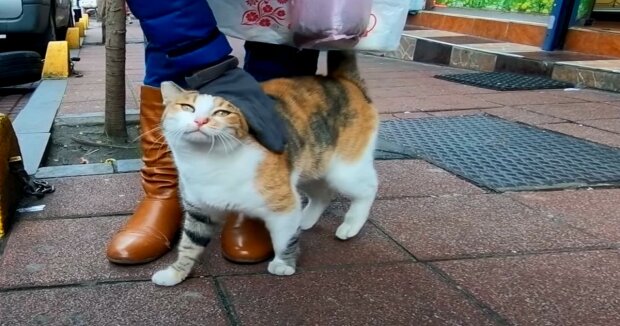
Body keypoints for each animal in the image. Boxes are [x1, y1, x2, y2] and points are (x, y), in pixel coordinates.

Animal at [153, 50, 380, 286]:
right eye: (187, 108)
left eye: (222, 113)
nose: (200, 120)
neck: (206, 161)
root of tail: (343, 80)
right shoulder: (199, 211)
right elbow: (189, 244)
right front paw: (175, 272)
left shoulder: (284, 207)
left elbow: (284, 239)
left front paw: (283, 264)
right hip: (308, 166)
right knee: (322, 193)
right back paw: (305, 219)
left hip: (344, 171)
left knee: (368, 188)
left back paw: (351, 225)